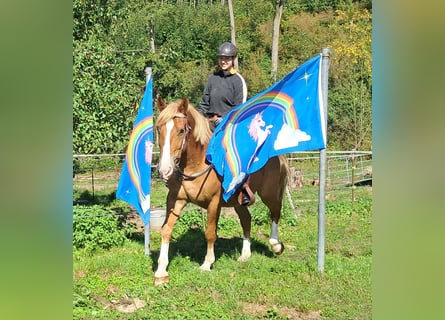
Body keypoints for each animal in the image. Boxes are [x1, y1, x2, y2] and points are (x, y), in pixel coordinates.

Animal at [154, 96, 290, 286]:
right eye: (159, 129)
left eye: (181, 131)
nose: (164, 170)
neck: (197, 163)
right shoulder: (175, 199)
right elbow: (166, 229)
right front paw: (161, 271)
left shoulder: (214, 202)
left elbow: (211, 233)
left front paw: (207, 264)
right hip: (239, 201)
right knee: (246, 220)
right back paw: (245, 255)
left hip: (270, 194)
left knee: (275, 214)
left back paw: (276, 245)